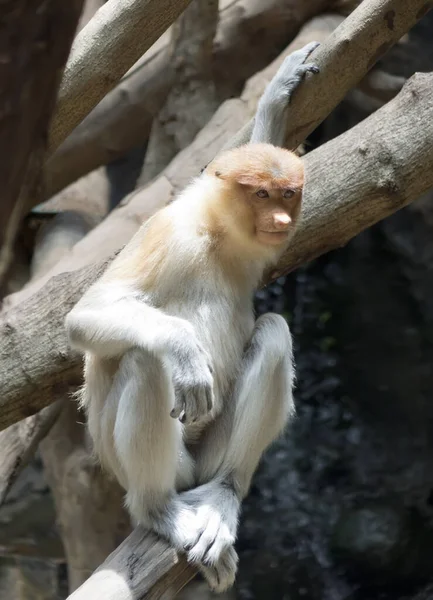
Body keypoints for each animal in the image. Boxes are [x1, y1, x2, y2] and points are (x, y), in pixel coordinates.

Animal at [66, 42, 318, 592]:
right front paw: (183, 349)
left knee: (274, 332)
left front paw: (277, 95)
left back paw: (224, 493)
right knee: (145, 361)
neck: (218, 235)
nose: (280, 220)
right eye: (261, 194)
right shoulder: (170, 231)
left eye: (287, 193)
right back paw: (158, 509)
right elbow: (87, 315)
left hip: (206, 456)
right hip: (161, 467)